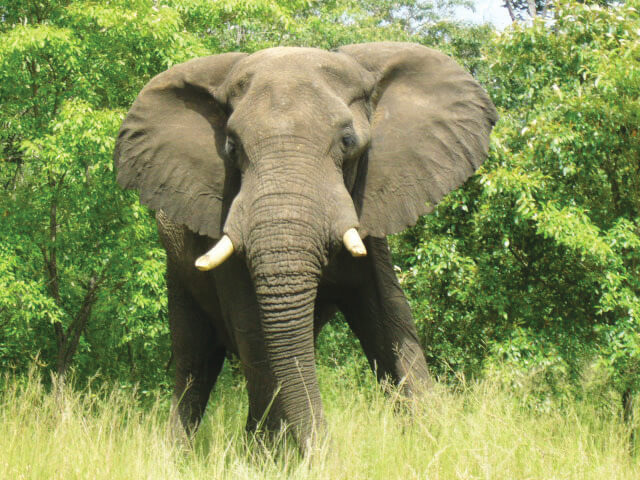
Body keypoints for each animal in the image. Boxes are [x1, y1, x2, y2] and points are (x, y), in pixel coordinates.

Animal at [114, 42, 497, 449]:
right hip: (178, 270)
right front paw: (280, 454)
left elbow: (388, 322)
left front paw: (431, 442)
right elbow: (255, 331)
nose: (328, 451)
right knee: (195, 361)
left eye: (348, 142)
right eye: (232, 148)